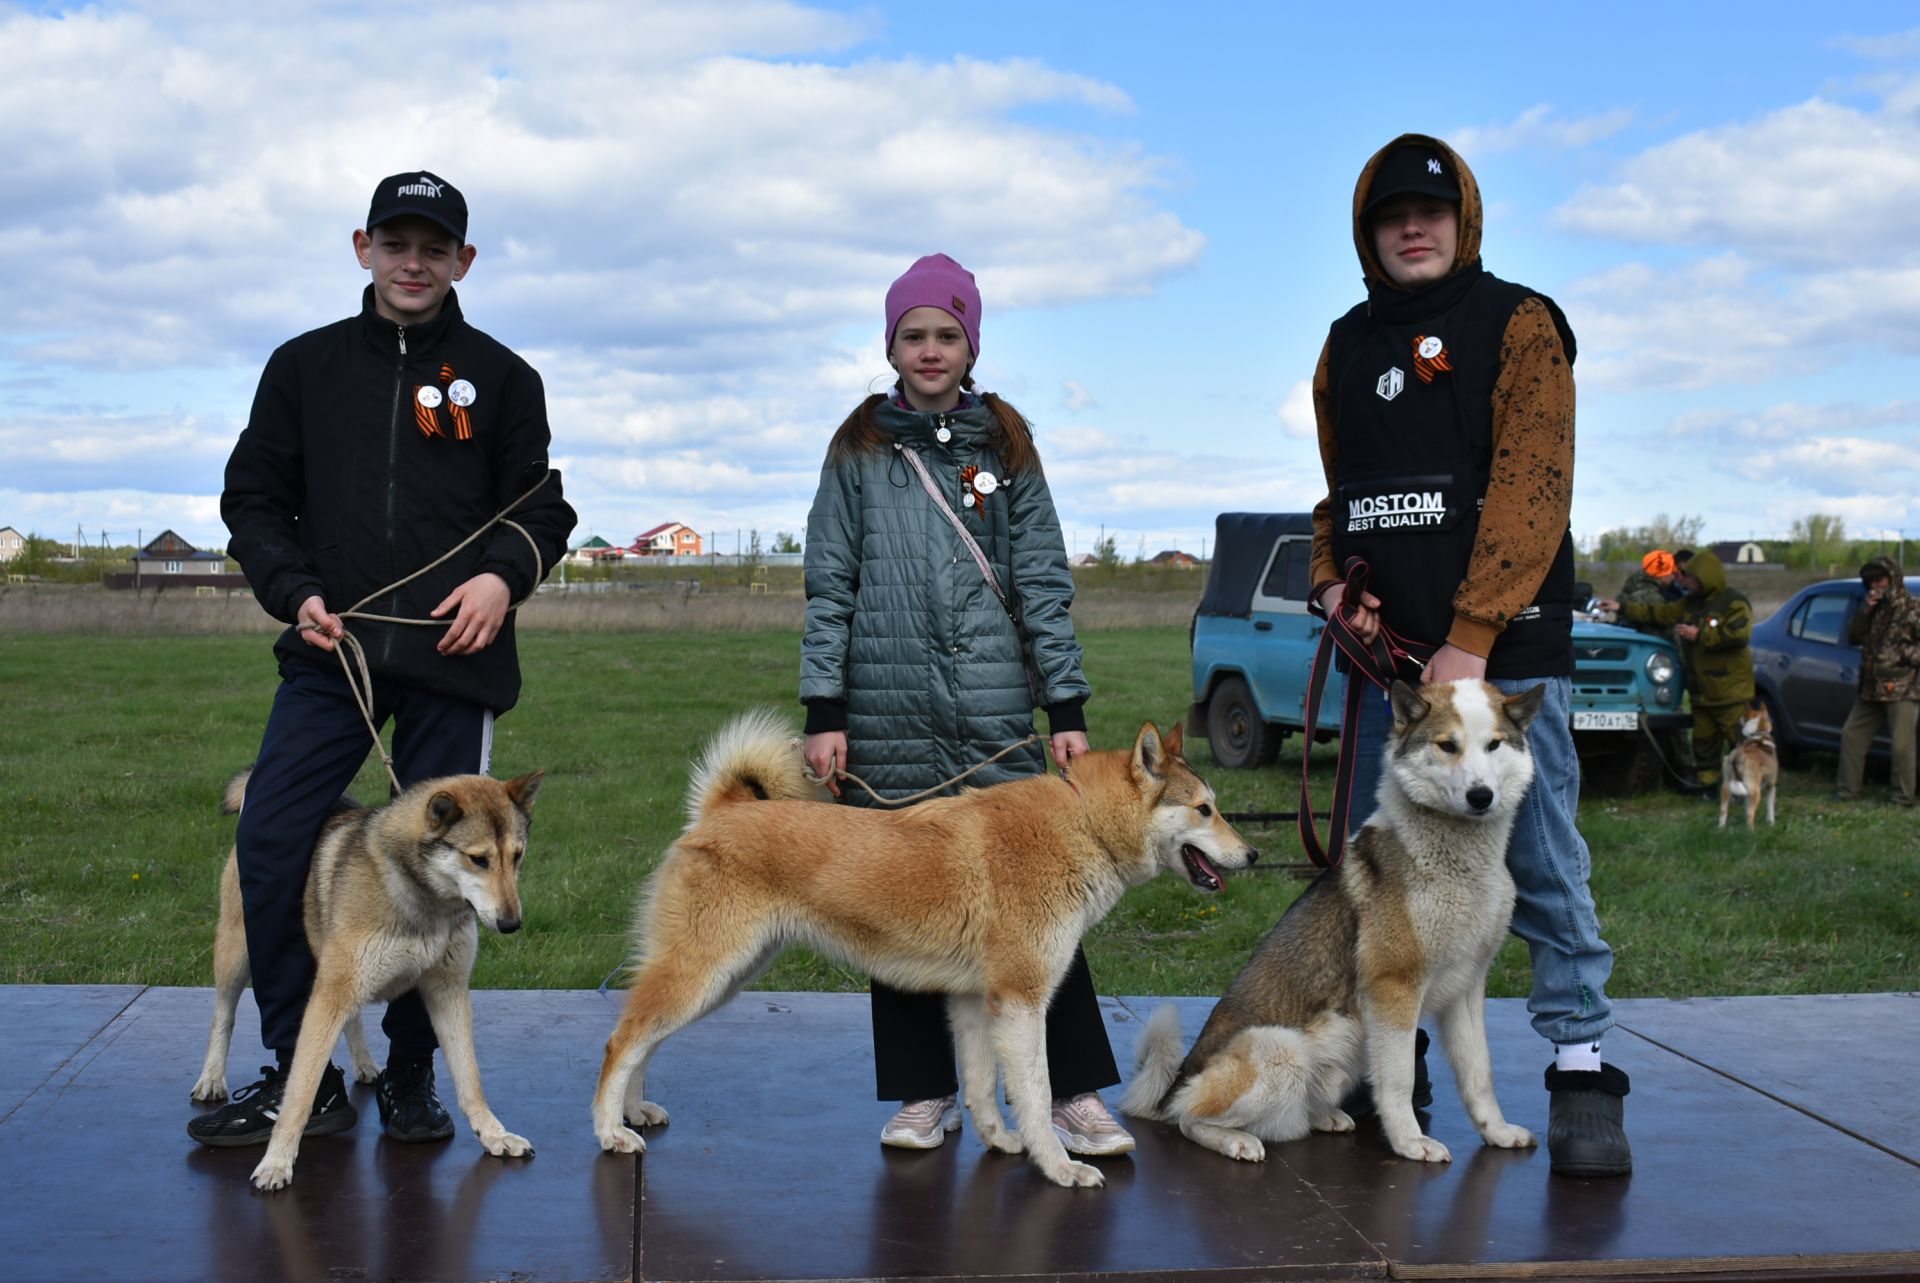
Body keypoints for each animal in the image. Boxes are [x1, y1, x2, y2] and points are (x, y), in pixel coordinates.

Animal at [599, 706, 1259, 1190]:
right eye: (1205, 809)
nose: (1253, 854)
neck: (1084, 824)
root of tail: (719, 812)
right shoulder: (1022, 1003)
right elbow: (1037, 1094)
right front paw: (1059, 1167)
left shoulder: (976, 1003)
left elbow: (982, 1087)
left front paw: (1000, 1142)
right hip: (706, 974)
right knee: (622, 1040)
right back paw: (610, 1131)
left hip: (720, 979)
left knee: (643, 1038)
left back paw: (635, 1112)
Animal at [1121, 679, 1543, 1160]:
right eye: (1447, 745)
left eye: (1494, 745)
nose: (1480, 796)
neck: (1457, 864)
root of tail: (1173, 1084)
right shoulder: (1394, 987)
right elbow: (1400, 1079)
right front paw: (1410, 1141)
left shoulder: (1468, 988)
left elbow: (1479, 1074)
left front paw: (1498, 1132)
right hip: (1281, 1050)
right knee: (1189, 1119)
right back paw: (1235, 1140)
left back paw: (1324, 1117)